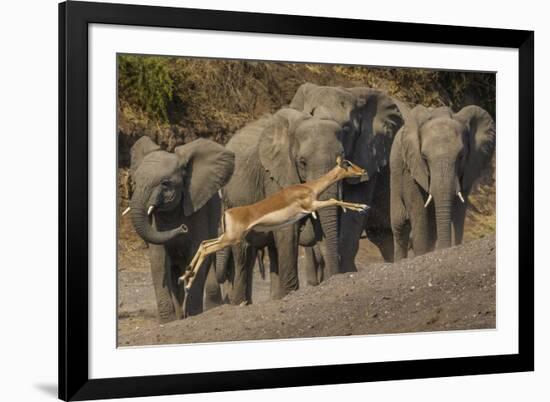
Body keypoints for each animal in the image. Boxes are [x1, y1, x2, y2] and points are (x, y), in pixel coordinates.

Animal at [130, 137, 236, 322]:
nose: (182, 227)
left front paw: (193, 315)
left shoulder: (198, 210)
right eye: (135, 183)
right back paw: (180, 316)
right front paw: (168, 322)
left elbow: (196, 254)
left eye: (165, 184)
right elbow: (158, 260)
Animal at [218, 108, 348, 304]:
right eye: (302, 162)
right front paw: (291, 293)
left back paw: (274, 298)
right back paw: (239, 303)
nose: (335, 276)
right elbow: (288, 230)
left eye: (343, 158)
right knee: (242, 253)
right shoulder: (274, 176)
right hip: (232, 201)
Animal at [390, 104, 498, 260]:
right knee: (400, 226)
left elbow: (459, 208)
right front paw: (422, 255)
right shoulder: (411, 168)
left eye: (461, 156)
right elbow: (419, 212)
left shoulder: (469, 167)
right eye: (424, 157)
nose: (444, 249)